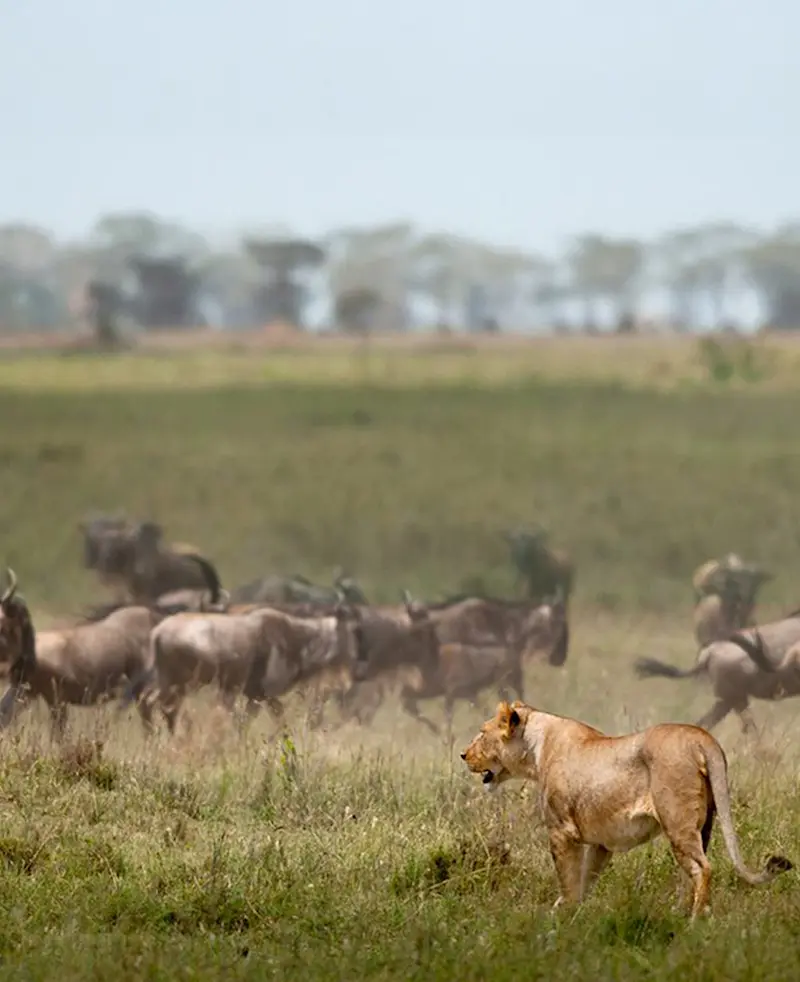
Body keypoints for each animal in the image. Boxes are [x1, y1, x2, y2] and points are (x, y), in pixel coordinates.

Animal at [461, 701, 792, 919]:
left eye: (482, 732)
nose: (463, 754)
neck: (536, 749)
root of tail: (702, 737)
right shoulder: (601, 843)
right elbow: (585, 878)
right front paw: (575, 914)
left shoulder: (561, 831)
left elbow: (568, 877)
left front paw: (561, 915)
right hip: (704, 825)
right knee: (690, 871)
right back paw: (679, 912)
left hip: (677, 821)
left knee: (702, 868)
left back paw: (694, 920)